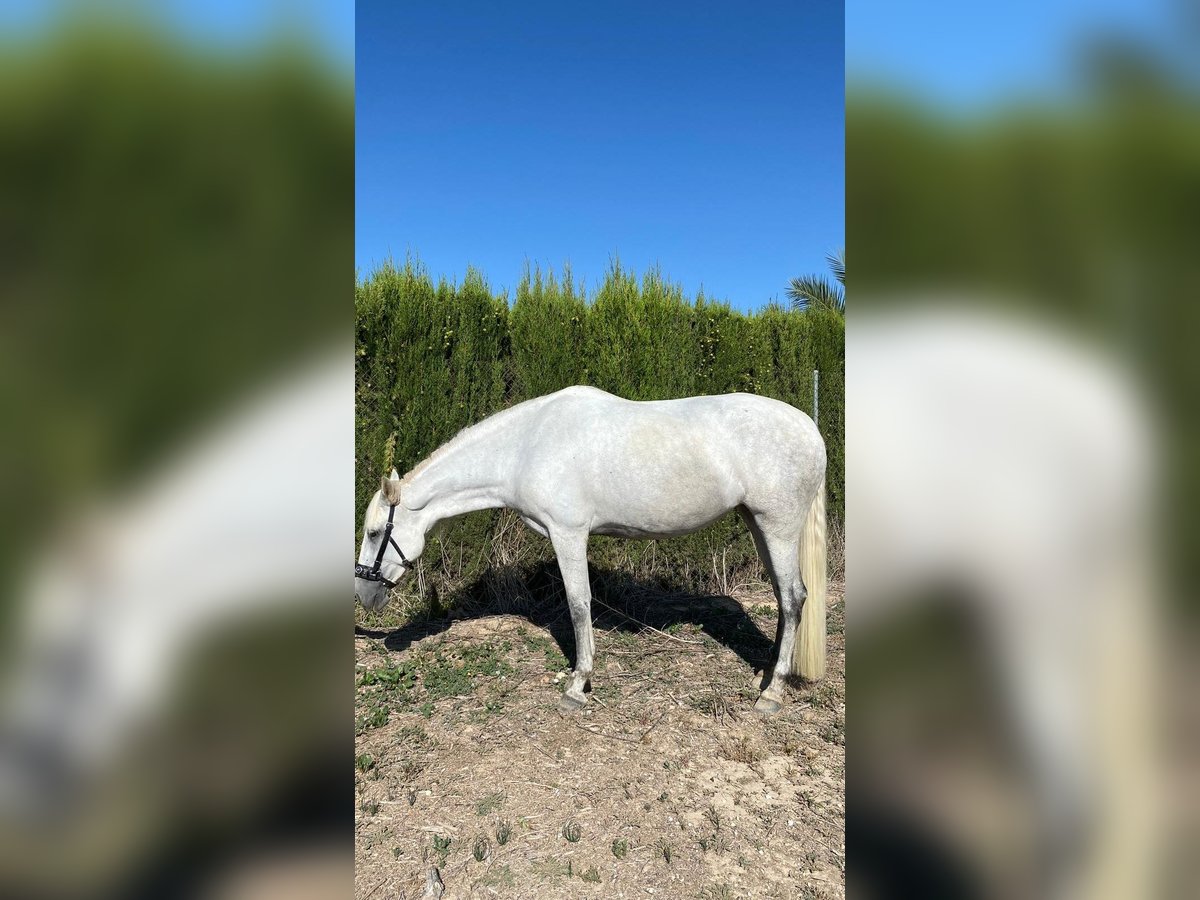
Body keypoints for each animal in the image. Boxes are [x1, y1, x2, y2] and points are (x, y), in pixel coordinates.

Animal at [352, 386, 825, 710]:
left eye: (374, 533)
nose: (364, 593)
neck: (527, 446)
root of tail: (809, 427)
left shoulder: (568, 535)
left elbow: (579, 604)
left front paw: (578, 685)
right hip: (758, 524)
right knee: (784, 598)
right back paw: (768, 672)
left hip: (778, 527)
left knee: (793, 598)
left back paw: (773, 692)